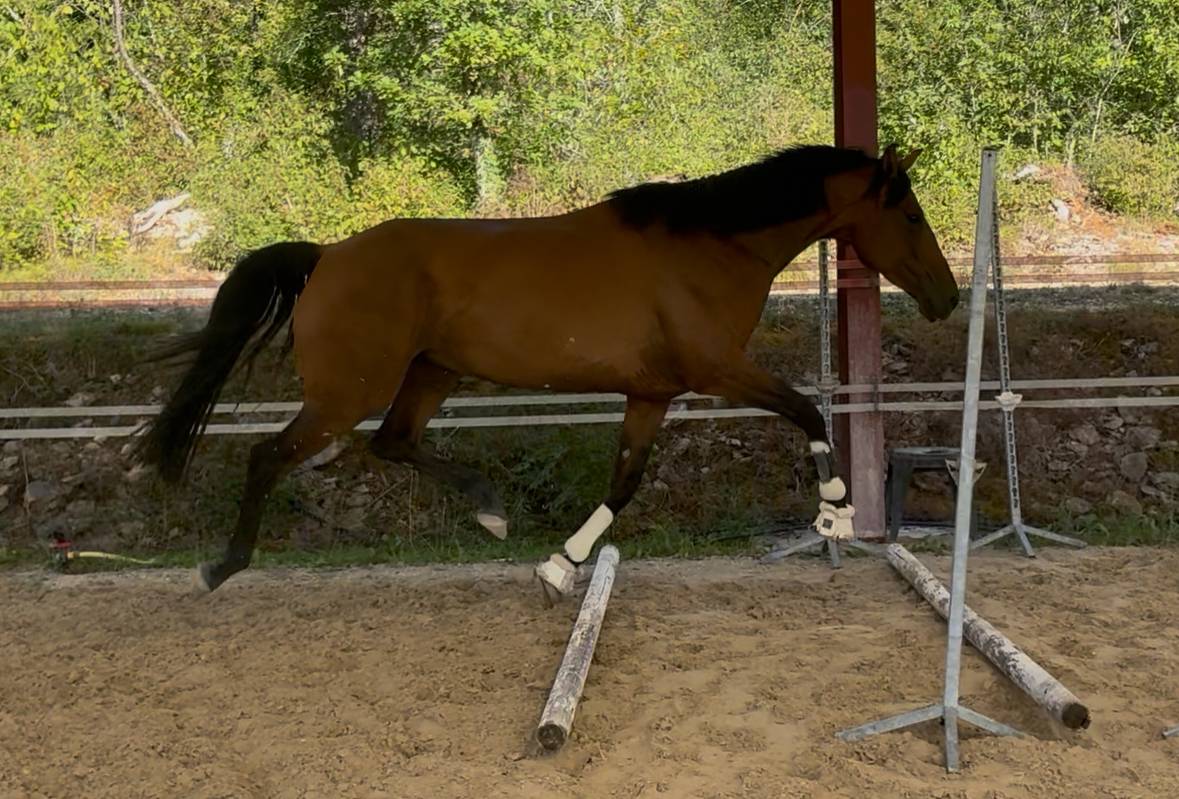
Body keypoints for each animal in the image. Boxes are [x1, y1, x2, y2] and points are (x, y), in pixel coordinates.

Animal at [137, 143, 959, 597]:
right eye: (911, 215)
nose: (948, 298)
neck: (711, 245)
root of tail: (328, 255)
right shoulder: (718, 370)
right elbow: (808, 408)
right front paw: (836, 511)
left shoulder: (650, 393)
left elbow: (623, 483)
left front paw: (561, 566)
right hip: (348, 392)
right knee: (269, 455)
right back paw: (219, 568)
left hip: (430, 374)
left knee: (394, 443)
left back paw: (490, 509)